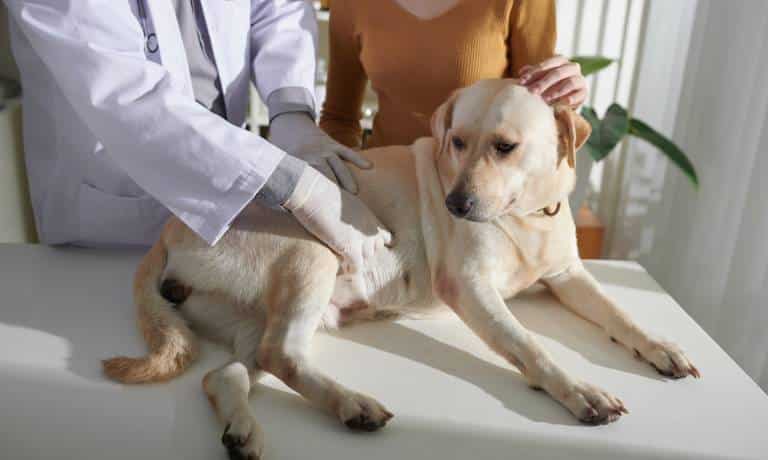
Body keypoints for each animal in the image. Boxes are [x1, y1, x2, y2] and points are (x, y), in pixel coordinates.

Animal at [105, 80, 700, 460]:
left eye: (505, 147)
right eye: (456, 141)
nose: (456, 204)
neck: (525, 216)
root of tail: (169, 231)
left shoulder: (568, 275)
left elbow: (620, 315)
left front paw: (660, 346)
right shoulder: (471, 289)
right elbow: (530, 346)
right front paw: (579, 391)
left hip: (254, 320)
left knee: (224, 373)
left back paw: (243, 427)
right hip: (313, 254)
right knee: (283, 354)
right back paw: (352, 404)